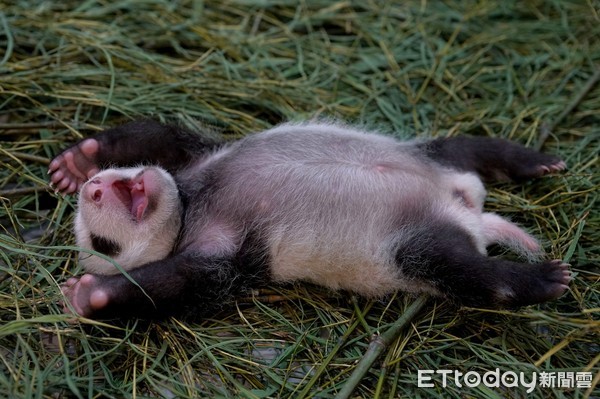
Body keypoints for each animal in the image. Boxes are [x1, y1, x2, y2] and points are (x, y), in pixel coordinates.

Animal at [49, 120, 568, 320]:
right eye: (104, 245)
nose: (96, 190)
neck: (192, 202)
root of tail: (466, 212)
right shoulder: (223, 252)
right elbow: (184, 283)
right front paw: (93, 294)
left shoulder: (196, 159)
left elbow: (160, 139)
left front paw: (79, 160)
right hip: (408, 245)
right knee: (457, 268)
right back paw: (539, 279)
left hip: (433, 156)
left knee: (470, 146)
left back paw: (533, 161)